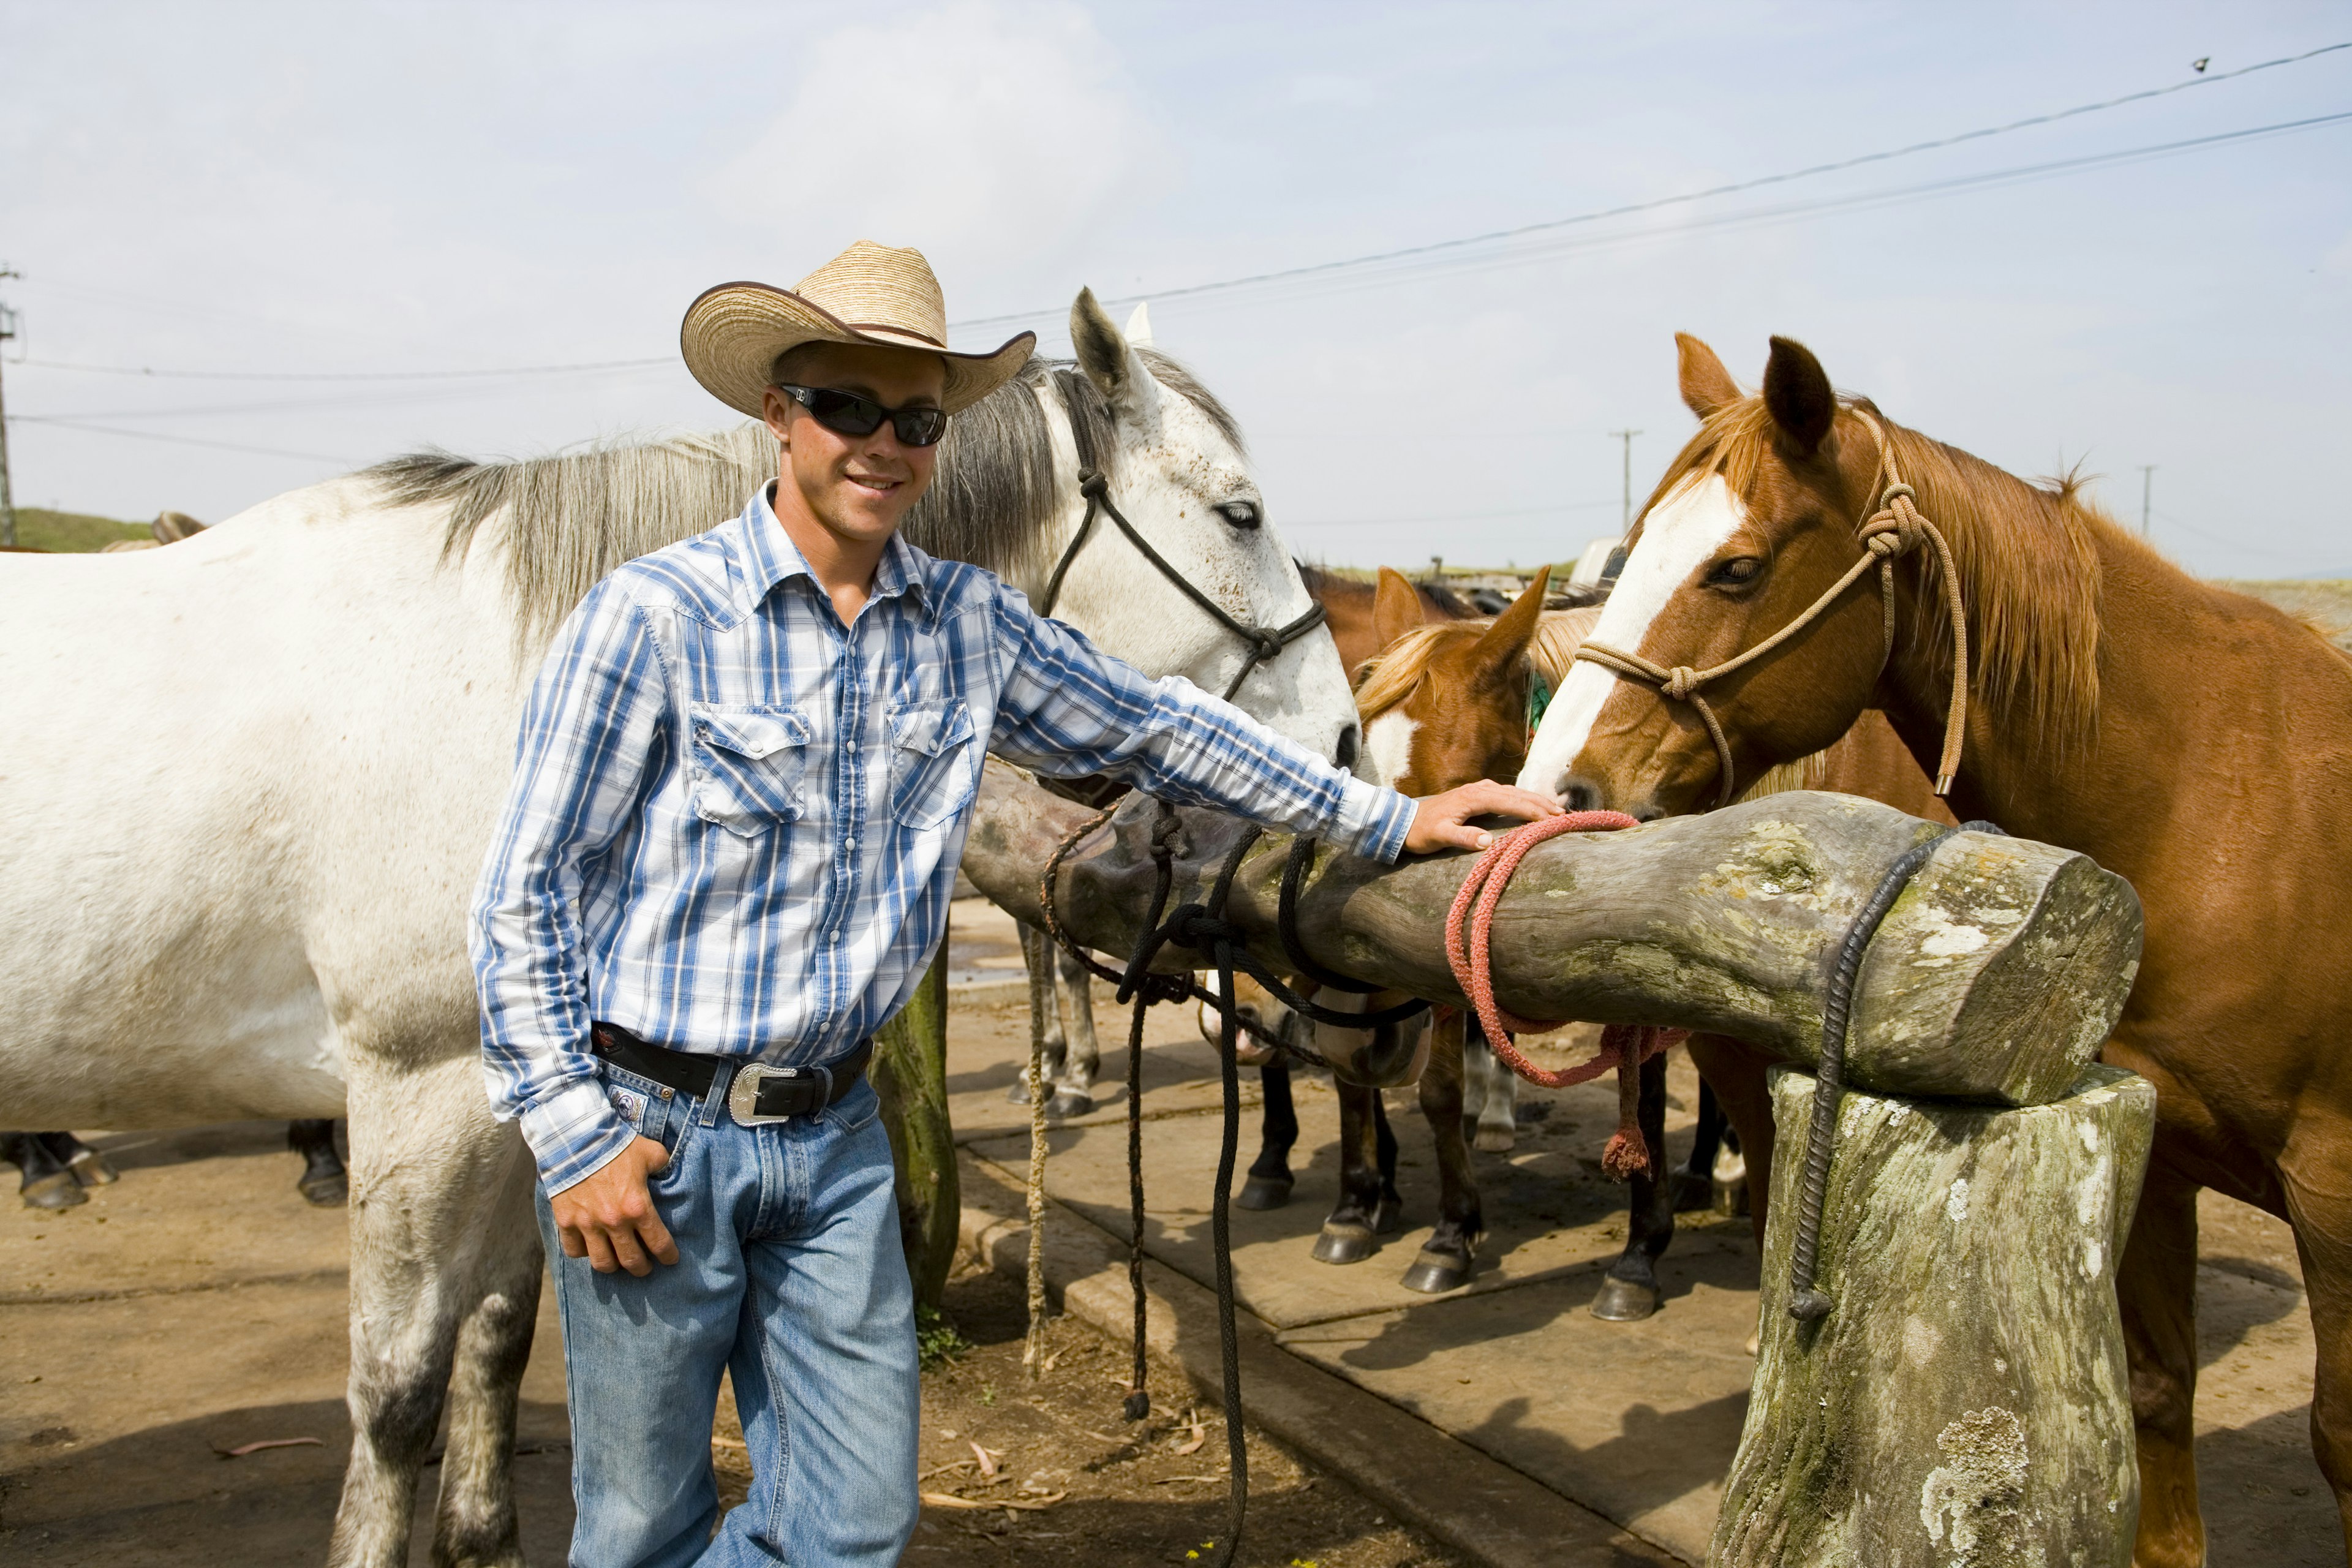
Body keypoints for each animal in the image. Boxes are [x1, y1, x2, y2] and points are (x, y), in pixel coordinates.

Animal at [1514, 329, 2352, 1561]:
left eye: (1737, 570)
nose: (1551, 791)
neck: (2220, 806)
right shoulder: (2159, 1160)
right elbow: (2159, 1392)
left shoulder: (2336, 1186)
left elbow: (2340, 1438)